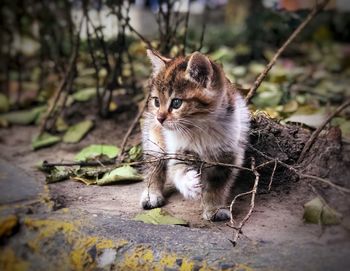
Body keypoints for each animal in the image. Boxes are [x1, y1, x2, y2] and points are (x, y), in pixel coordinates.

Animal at [139, 50, 249, 222]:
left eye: (176, 103)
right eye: (157, 101)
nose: (160, 118)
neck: (199, 128)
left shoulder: (227, 153)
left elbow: (217, 183)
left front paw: (214, 208)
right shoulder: (177, 148)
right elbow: (177, 169)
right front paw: (189, 183)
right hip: (155, 137)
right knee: (154, 163)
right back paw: (152, 194)